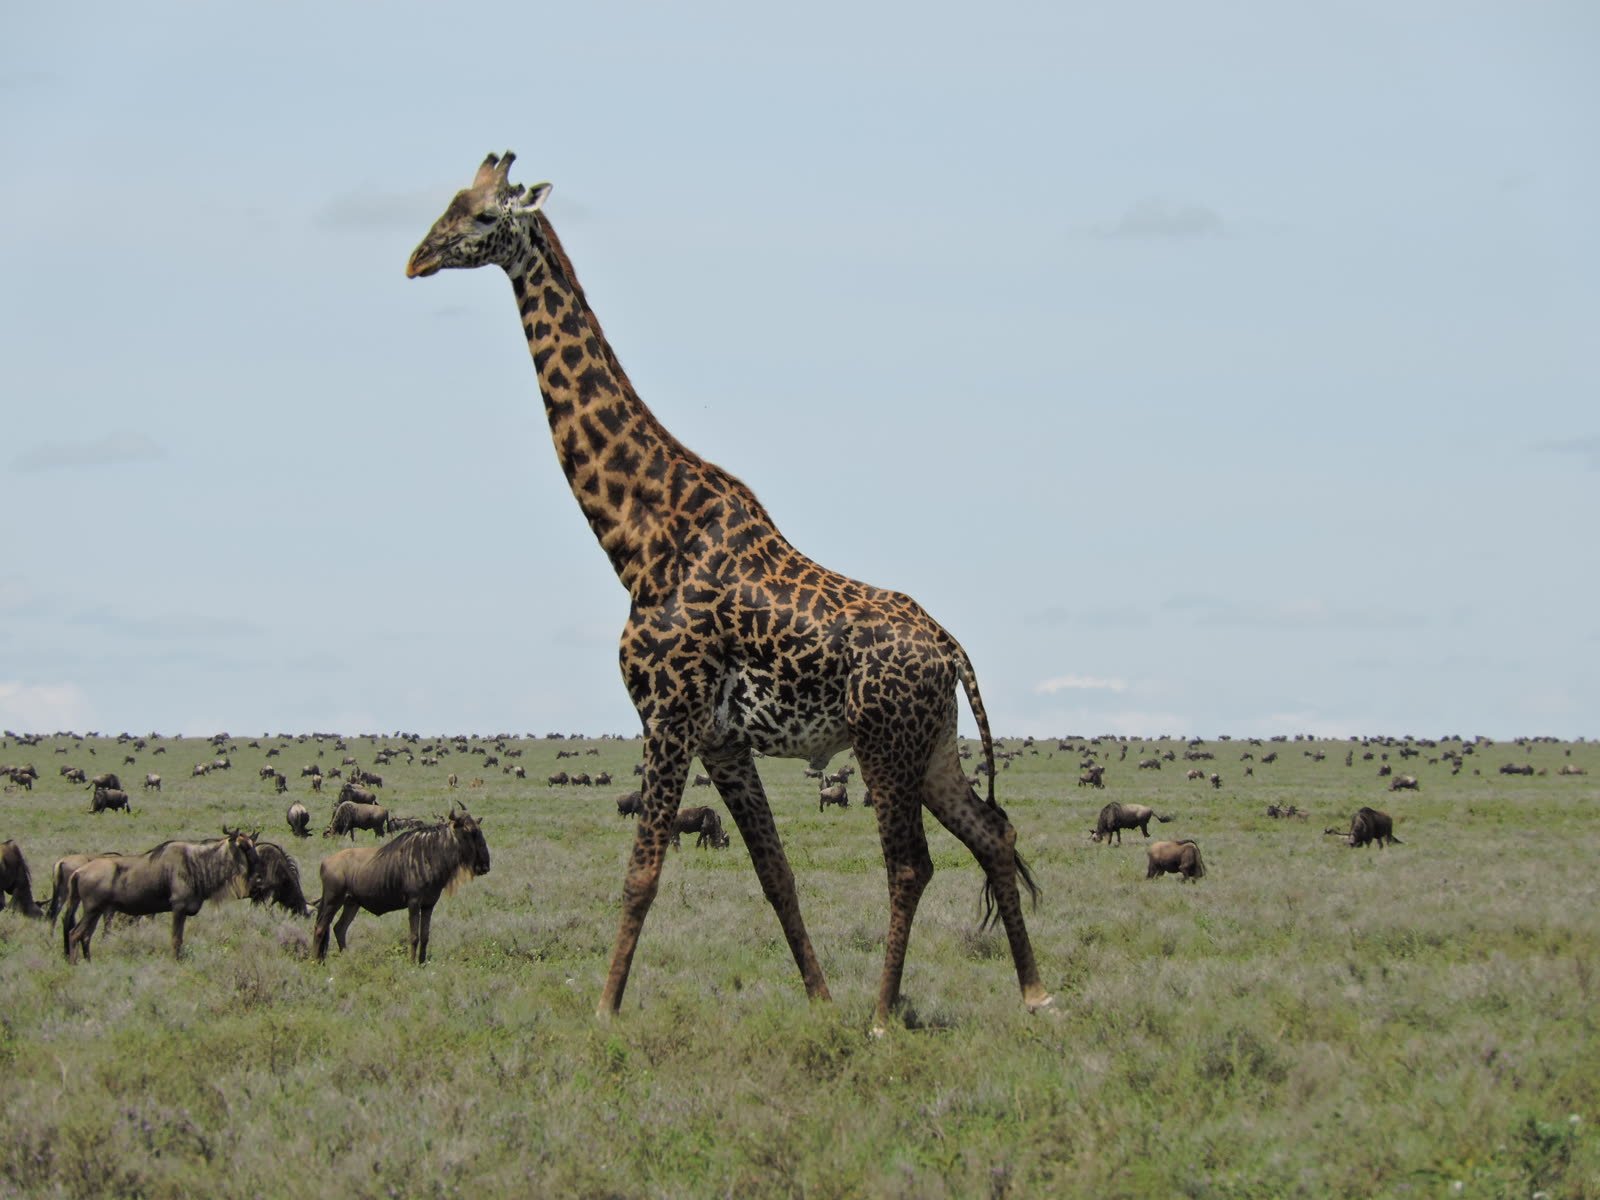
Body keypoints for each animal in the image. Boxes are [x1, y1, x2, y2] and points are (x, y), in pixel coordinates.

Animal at [407, 152, 1053, 1031]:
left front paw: (604, 1012)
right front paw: (817, 997)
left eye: (479, 217)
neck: (639, 541)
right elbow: (774, 873)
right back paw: (1033, 991)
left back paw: (883, 1013)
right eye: (447, 204)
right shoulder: (722, 738)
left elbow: (642, 873)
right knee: (993, 835)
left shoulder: (669, 714)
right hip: (934, 745)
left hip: (884, 743)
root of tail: (951, 649)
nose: (417, 259)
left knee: (911, 864)